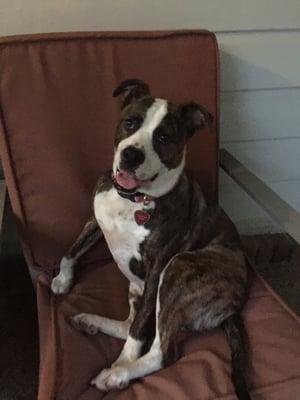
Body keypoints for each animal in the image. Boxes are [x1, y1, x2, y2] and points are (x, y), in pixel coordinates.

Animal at [51, 79, 251, 400]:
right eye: (130, 122)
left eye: (164, 137)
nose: (132, 155)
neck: (133, 200)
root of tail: (235, 304)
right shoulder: (94, 220)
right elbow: (71, 250)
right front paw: (62, 280)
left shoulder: (159, 265)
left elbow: (139, 332)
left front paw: (121, 365)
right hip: (137, 287)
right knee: (133, 325)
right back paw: (90, 322)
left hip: (179, 270)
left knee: (160, 349)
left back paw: (117, 373)